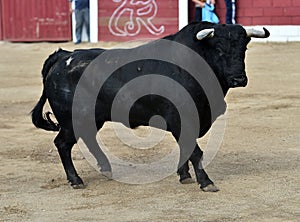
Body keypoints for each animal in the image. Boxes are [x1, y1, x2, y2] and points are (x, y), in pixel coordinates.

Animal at [31, 23, 270, 193]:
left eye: (244, 48)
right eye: (219, 49)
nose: (239, 78)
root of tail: (63, 56)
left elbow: (186, 147)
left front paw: (184, 176)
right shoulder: (181, 118)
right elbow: (195, 150)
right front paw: (205, 181)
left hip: (91, 118)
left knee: (86, 139)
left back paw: (105, 168)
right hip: (71, 120)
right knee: (63, 144)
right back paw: (76, 180)